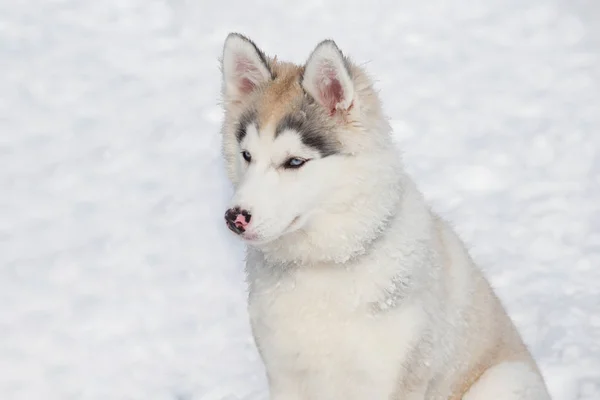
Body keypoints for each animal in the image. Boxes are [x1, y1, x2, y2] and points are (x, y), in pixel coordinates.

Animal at [218, 33, 552, 400]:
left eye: (294, 161)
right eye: (247, 155)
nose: (235, 217)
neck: (325, 263)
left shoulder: (390, 377)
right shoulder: (284, 375)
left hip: (503, 380)